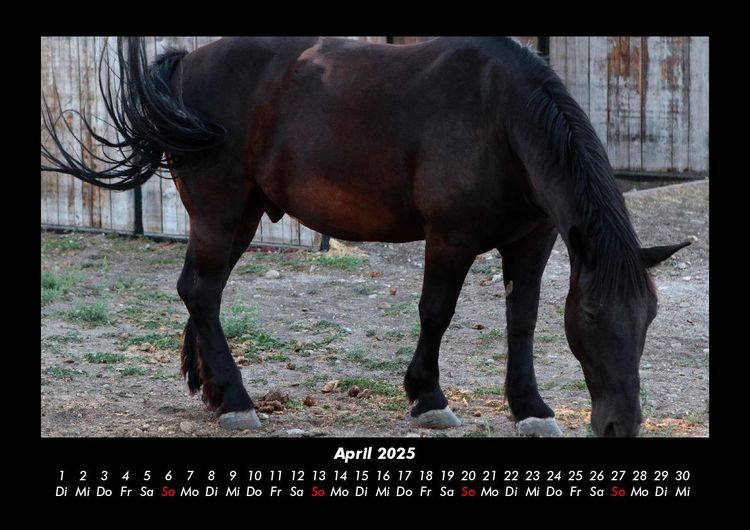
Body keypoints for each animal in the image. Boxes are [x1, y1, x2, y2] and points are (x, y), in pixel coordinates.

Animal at [41, 36, 689, 437]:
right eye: (594, 317)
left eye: (650, 318)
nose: (620, 426)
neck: (501, 117)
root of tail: (185, 65)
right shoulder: (449, 239)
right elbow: (436, 312)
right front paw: (428, 398)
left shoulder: (535, 241)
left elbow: (523, 320)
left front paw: (529, 407)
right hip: (220, 212)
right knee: (200, 291)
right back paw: (237, 401)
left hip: (241, 217)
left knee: (203, 291)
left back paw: (214, 390)